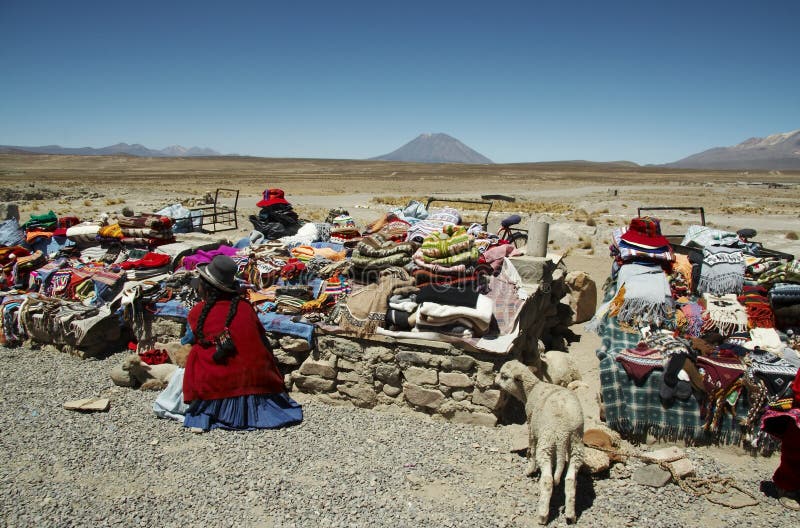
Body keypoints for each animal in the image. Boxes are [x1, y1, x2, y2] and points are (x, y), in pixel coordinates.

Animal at [496, 358, 584, 524]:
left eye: (504, 376)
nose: (495, 380)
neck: (532, 389)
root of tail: (563, 430)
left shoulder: (531, 424)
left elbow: (531, 449)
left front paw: (529, 469)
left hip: (547, 439)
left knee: (548, 479)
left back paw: (542, 515)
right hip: (576, 443)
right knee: (570, 479)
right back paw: (570, 515)